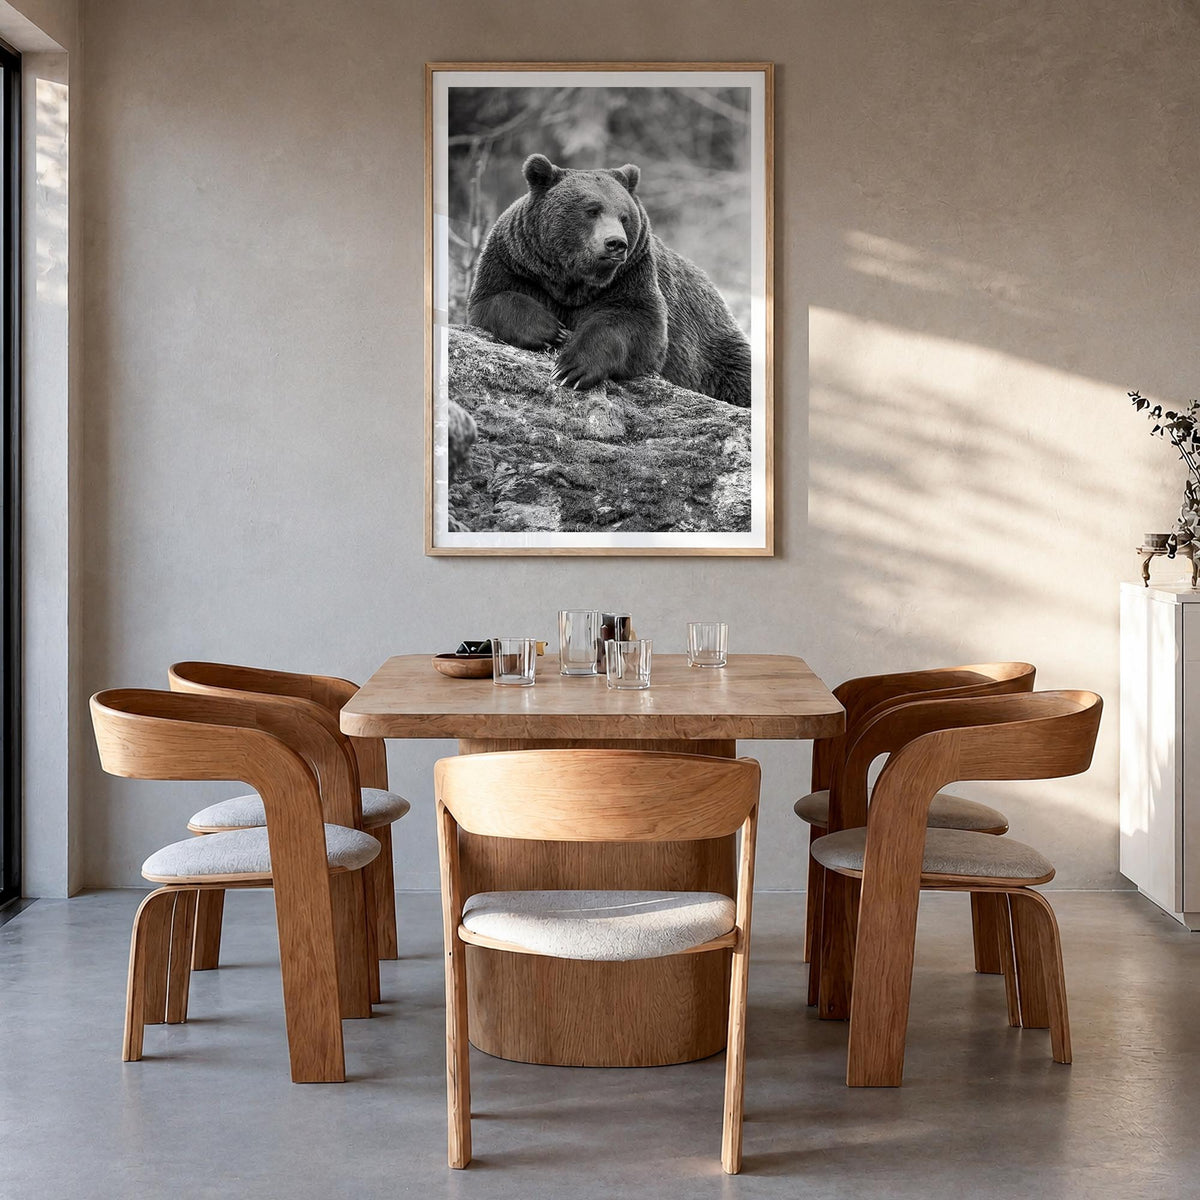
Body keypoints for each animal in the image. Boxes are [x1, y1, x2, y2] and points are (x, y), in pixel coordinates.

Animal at [466, 154, 751, 408]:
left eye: (624, 216)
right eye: (591, 210)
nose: (616, 243)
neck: (573, 281)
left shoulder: (631, 275)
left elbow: (637, 324)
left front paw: (572, 368)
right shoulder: (516, 263)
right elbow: (492, 299)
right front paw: (551, 329)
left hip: (713, 347)